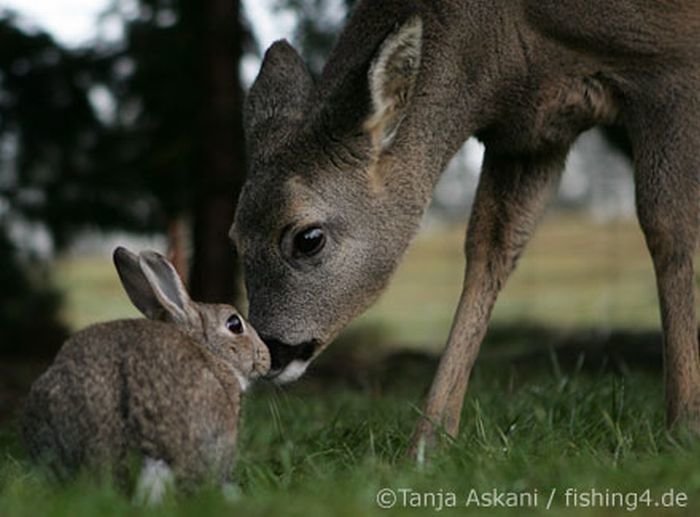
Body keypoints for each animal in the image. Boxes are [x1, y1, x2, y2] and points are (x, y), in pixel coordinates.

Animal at [231, 0, 700, 452]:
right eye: (235, 238)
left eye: (308, 238)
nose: (269, 350)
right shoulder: (529, 136)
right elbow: (490, 252)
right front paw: (429, 441)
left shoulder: (670, 64)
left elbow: (667, 227)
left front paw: (683, 425)